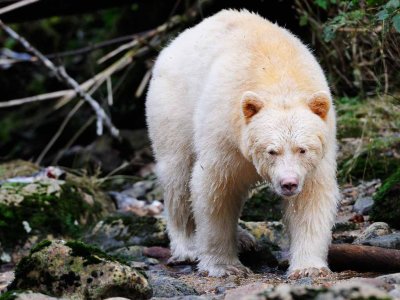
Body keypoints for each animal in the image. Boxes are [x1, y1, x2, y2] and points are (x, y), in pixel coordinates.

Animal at [145, 9, 340, 278]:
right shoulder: (225, 133)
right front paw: (224, 266)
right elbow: (215, 188)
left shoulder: (319, 149)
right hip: (172, 106)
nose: (288, 183)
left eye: (302, 149)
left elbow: (311, 197)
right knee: (178, 175)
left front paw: (308, 268)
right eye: (271, 151)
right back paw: (188, 246)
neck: (278, 77)